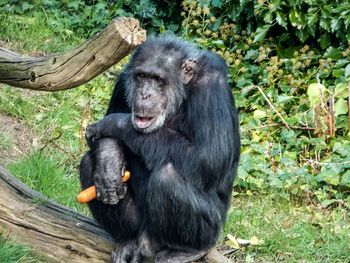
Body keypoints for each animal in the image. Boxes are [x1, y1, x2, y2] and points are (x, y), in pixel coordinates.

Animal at [80, 35, 241, 263]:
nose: (145, 94)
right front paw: (108, 164)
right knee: (87, 163)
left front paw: (113, 123)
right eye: (141, 77)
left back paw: (186, 250)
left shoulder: (212, 88)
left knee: (168, 179)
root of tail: (146, 242)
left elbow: (208, 157)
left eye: (157, 80)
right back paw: (127, 241)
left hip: (208, 232)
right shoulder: (123, 80)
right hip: (139, 227)